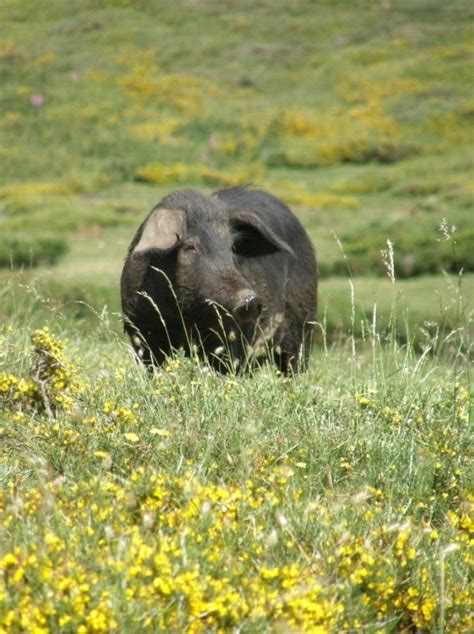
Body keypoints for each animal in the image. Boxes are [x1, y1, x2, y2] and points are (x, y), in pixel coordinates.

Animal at [120, 185, 316, 370]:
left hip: (304, 324)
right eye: (190, 246)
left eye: (232, 247)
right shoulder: (141, 329)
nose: (250, 299)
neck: (185, 317)